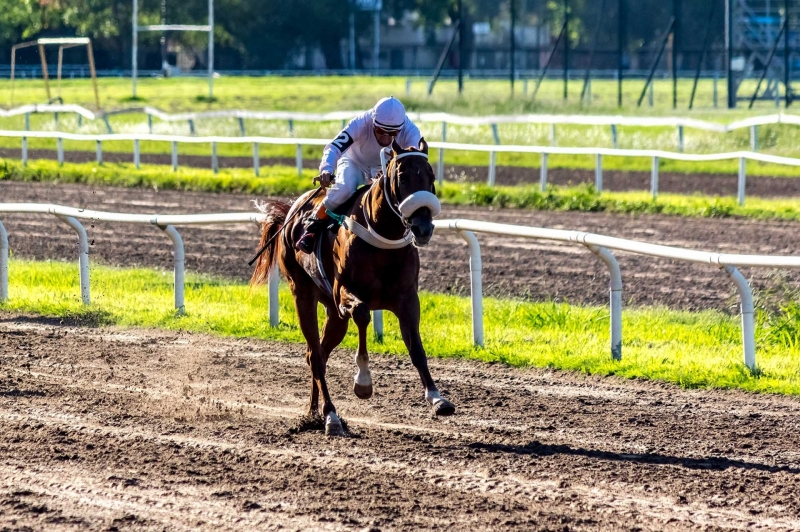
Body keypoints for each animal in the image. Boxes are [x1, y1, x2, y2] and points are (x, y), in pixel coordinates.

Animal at [252, 138, 450, 436]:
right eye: (401, 178)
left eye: (431, 176)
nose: (423, 228)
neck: (383, 236)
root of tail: (290, 212)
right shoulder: (345, 294)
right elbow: (362, 314)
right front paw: (363, 382)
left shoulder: (406, 299)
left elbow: (416, 347)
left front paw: (437, 398)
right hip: (303, 294)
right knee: (316, 355)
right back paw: (331, 417)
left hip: (333, 315)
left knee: (317, 355)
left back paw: (313, 413)